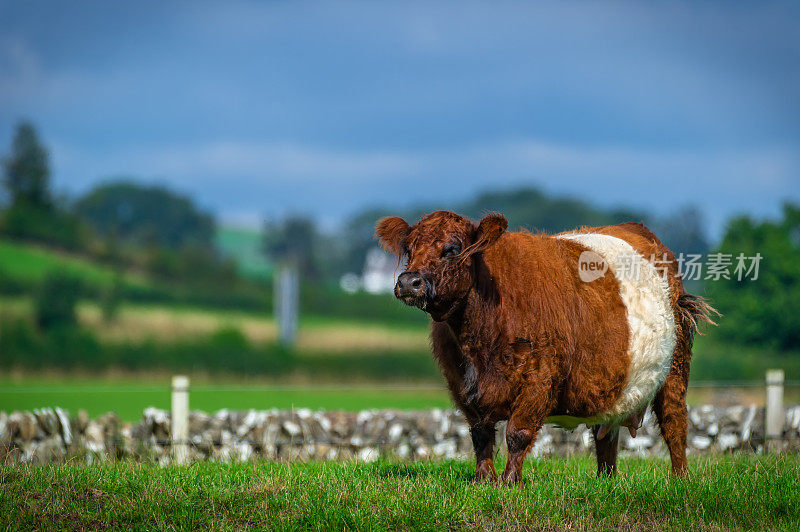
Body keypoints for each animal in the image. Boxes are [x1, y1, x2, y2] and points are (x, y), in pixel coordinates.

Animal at [376, 210, 720, 484]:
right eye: (409, 249)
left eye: (452, 249)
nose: (409, 282)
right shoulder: (461, 382)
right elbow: (480, 435)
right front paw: (483, 481)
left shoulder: (541, 376)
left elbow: (517, 434)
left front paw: (510, 482)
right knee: (606, 435)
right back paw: (605, 481)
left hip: (676, 365)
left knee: (674, 420)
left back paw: (680, 479)